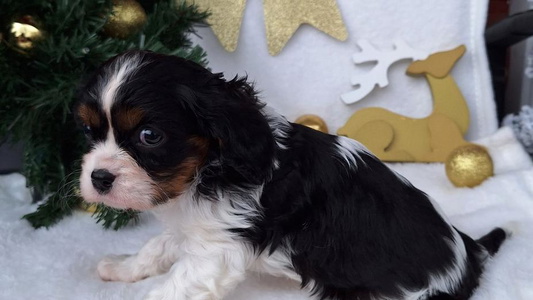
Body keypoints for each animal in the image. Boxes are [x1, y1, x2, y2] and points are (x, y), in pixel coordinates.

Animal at [75, 50, 508, 298]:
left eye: (149, 136)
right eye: (88, 131)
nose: (99, 178)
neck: (208, 169)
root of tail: (467, 252)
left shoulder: (216, 251)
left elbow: (171, 288)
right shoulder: (194, 226)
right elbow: (158, 246)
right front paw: (123, 266)